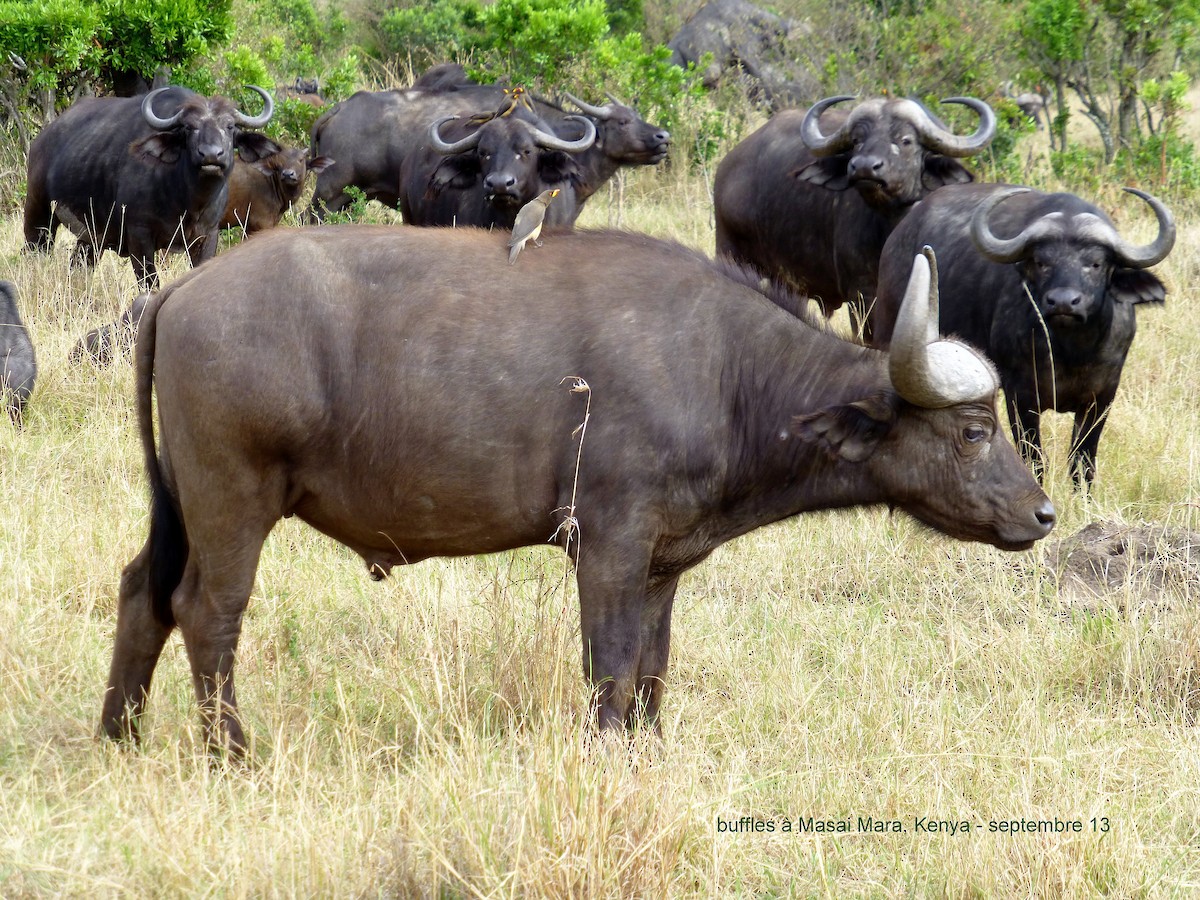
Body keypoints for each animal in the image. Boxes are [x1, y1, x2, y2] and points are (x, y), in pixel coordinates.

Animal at [23, 84, 276, 289]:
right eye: (188, 127)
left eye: (230, 126)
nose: (211, 155)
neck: (187, 202)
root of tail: (42, 139)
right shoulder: (139, 237)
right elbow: (150, 283)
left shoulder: (207, 235)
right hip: (38, 213)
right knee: (35, 248)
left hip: (91, 236)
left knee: (80, 264)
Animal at [105, 226, 1060, 753]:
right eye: (973, 432)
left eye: (996, 424)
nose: (1042, 514)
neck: (727, 372)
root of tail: (186, 288)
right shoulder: (605, 547)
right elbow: (609, 670)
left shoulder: (663, 564)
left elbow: (651, 672)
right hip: (233, 501)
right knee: (208, 612)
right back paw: (231, 753)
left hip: (176, 505)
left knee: (143, 592)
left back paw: (119, 736)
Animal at [710, 94, 993, 338]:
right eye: (857, 140)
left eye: (906, 140)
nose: (864, 167)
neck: (889, 227)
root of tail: (728, 167)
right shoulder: (862, 294)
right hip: (730, 251)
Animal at [868, 183, 1176, 489]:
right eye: (1041, 262)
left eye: (1096, 263)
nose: (1063, 302)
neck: (1072, 351)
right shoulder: (1021, 395)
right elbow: (1033, 459)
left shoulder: (1101, 397)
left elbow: (1082, 463)